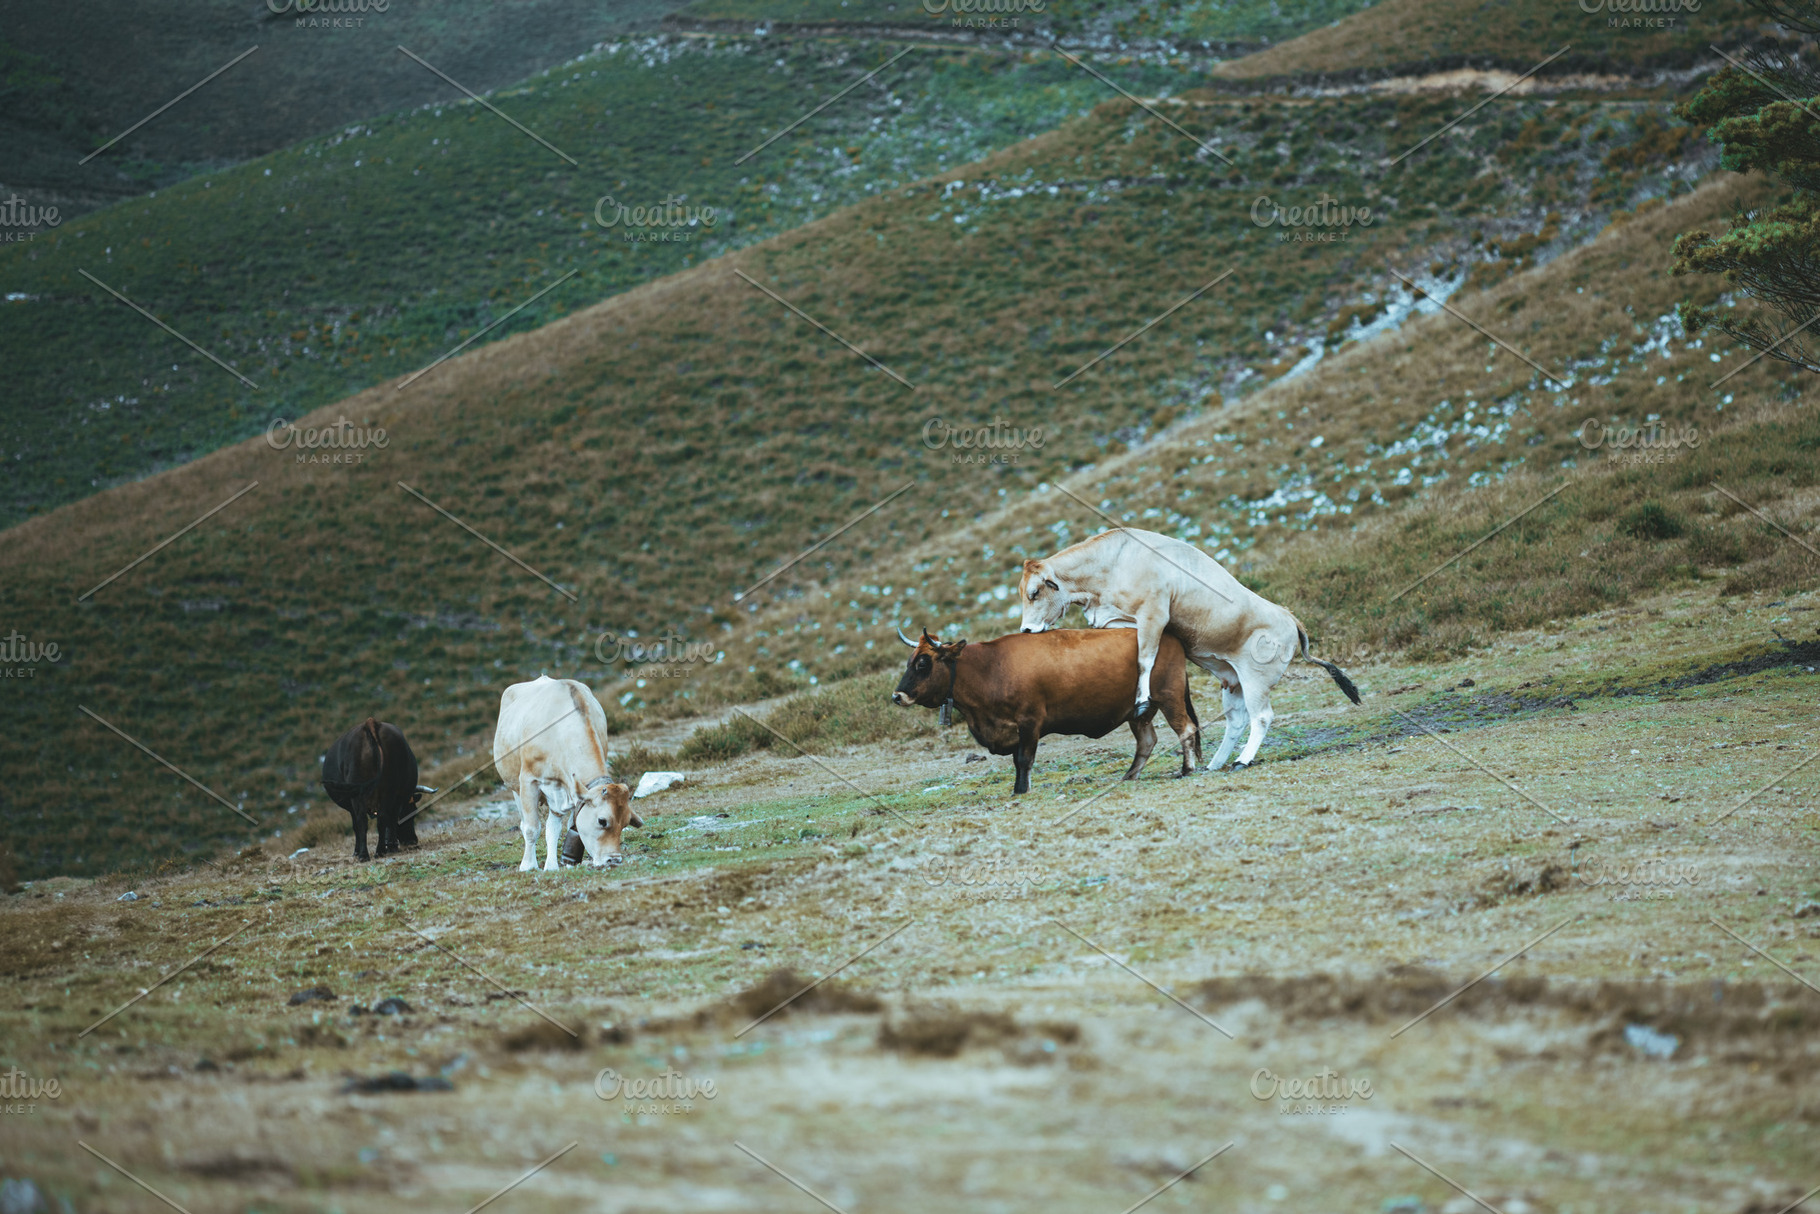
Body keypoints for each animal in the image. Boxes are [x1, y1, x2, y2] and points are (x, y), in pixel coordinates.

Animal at [320, 718, 435, 861]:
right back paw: (375, 852)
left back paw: (370, 853)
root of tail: (371, 723)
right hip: (381, 791)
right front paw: (390, 846)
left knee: (367, 821)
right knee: (379, 819)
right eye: (412, 811)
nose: (412, 840)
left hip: (364, 794)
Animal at [493, 675, 640, 872]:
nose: (613, 860)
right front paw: (528, 865)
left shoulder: (571, 790)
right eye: (602, 821)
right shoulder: (528, 780)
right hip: (514, 786)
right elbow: (532, 828)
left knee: (552, 827)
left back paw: (551, 865)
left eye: (625, 823)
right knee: (525, 823)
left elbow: (566, 826)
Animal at [891, 626, 1202, 795]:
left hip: (1169, 696)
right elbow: (1017, 761)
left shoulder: (1030, 722)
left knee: (1186, 729)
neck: (990, 668)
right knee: (1147, 741)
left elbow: (1023, 760)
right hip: (1139, 711)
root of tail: (1169, 634)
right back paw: (1129, 775)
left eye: (923, 663)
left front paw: (1021, 791)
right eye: (908, 661)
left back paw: (1186, 769)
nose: (897, 696)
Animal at [1018, 527, 1360, 771]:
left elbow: (1145, 658)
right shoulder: (1116, 620)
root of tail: (1288, 616)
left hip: (1256, 680)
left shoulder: (1154, 615)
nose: (1026, 631)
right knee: (1236, 721)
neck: (1114, 563)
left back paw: (1241, 760)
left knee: (1261, 716)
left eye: (1034, 592)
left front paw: (1141, 701)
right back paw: (1215, 763)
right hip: (1232, 681)